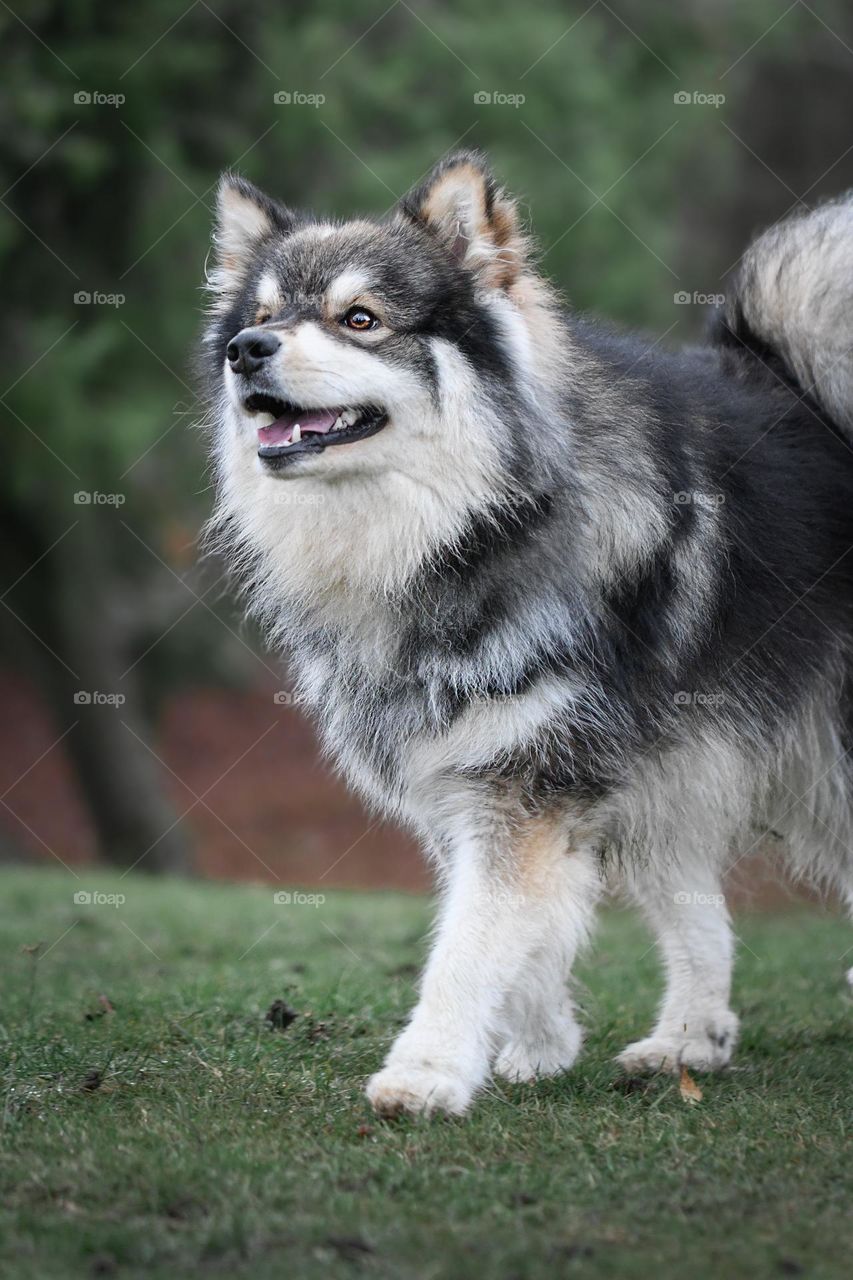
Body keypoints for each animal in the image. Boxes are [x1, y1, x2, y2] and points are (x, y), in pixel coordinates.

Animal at [201, 147, 850, 1111]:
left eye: (360, 320)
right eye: (263, 317)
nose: (246, 353)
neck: (471, 526)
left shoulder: (523, 784)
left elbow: (468, 945)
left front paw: (426, 1070)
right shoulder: (481, 777)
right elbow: (518, 929)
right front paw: (540, 1041)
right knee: (700, 918)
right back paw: (688, 1040)